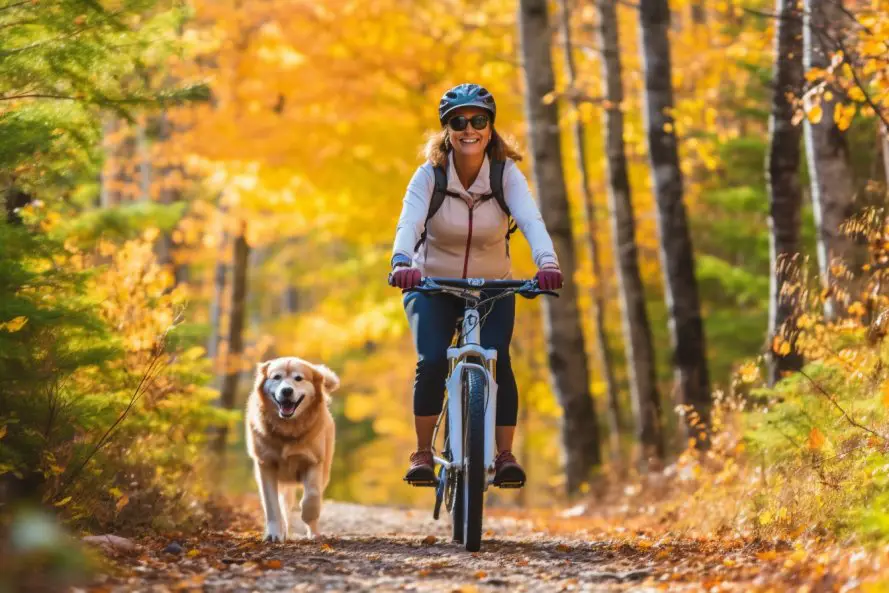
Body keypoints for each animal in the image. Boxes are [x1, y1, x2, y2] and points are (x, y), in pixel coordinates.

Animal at [246, 356, 340, 540]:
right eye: (277, 377)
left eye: (298, 378)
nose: (286, 391)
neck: (287, 429)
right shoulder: (265, 465)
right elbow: (272, 505)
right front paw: (274, 534)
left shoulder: (314, 462)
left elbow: (312, 495)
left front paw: (308, 516)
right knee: (283, 506)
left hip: (324, 470)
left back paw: (314, 533)